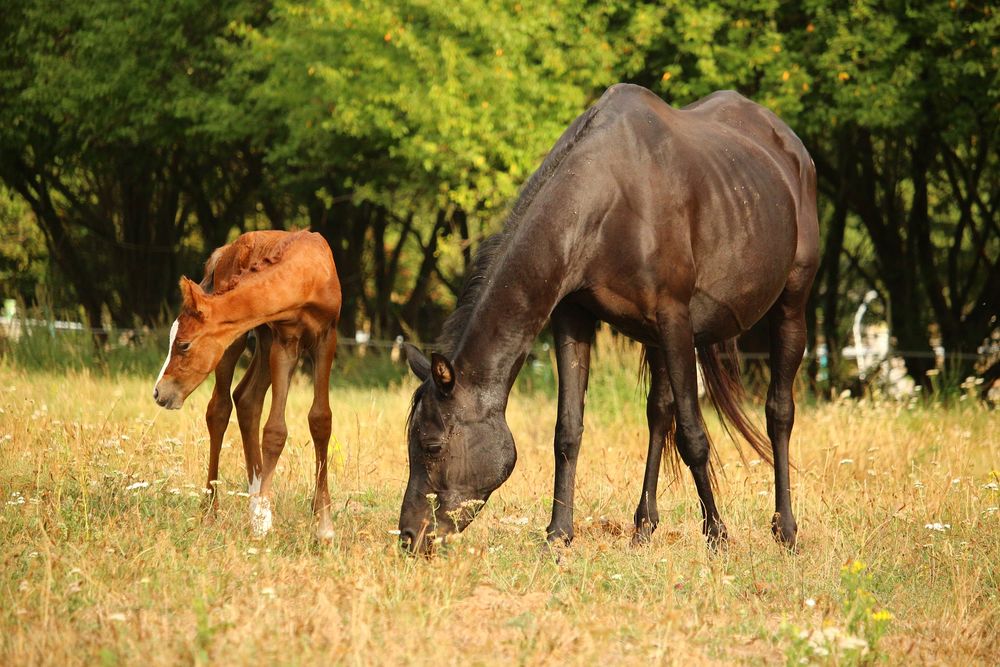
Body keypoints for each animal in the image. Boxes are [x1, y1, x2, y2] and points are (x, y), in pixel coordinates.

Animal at [153, 230, 342, 540]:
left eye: (183, 344)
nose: (159, 392)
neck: (307, 273)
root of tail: (226, 250)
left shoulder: (326, 338)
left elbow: (320, 420)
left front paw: (324, 525)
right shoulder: (285, 343)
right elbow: (275, 430)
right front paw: (263, 521)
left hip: (263, 341)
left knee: (247, 399)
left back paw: (254, 500)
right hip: (238, 340)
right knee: (219, 409)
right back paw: (213, 511)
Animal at [400, 84, 819, 554]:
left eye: (432, 446)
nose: (409, 535)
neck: (608, 199)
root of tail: (793, 149)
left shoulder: (676, 321)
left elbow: (693, 436)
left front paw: (717, 535)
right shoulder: (575, 318)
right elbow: (568, 431)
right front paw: (558, 535)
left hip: (790, 307)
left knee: (778, 413)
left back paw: (785, 529)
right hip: (655, 339)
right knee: (659, 413)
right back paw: (643, 527)